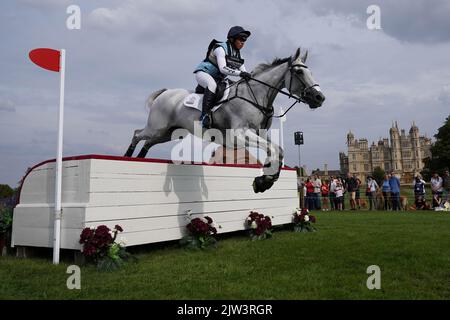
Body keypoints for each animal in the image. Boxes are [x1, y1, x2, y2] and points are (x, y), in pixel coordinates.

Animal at [125, 47, 326, 192]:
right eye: (299, 72)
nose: (319, 98)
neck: (255, 96)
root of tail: (165, 93)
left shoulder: (260, 133)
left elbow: (277, 149)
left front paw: (266, 179)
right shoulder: (240, 133)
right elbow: (274, 149)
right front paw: (265, 179)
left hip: (168, 133)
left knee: (147, 142)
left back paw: (140, 159)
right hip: (157, 128)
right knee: (137, 134)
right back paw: (128, 157)